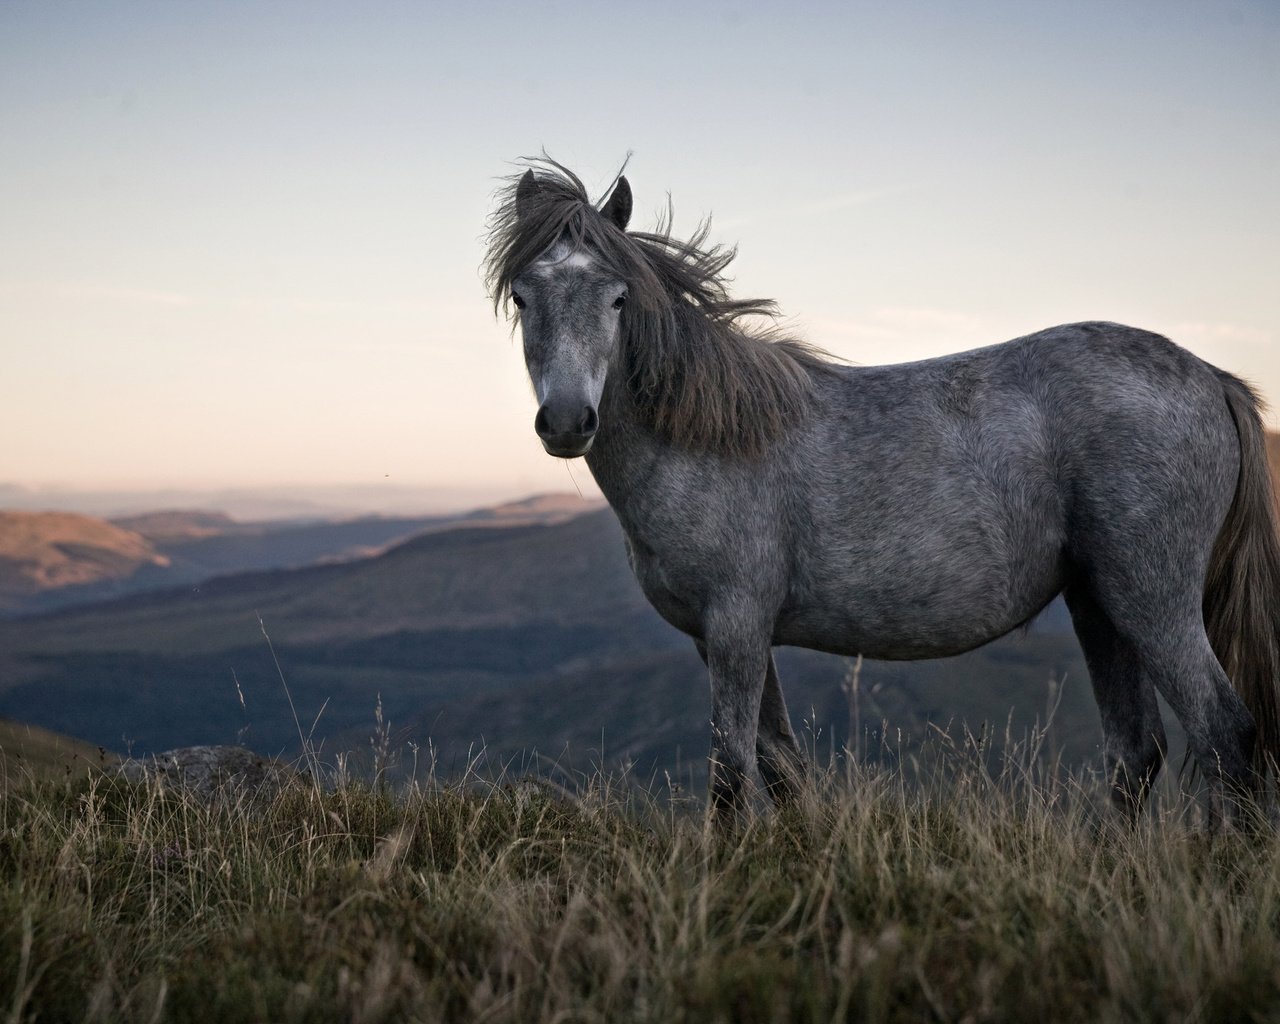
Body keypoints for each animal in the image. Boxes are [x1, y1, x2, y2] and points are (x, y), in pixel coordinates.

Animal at [481, 161, 1280, 829]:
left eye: (618, 298)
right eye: (522, 295)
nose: (566, 421)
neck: (708, 439)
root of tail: (1212, 377)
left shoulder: (736, 625)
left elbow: (732, 776)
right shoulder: (725, 637)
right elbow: (781, 766)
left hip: (1152, 598)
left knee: (1224, 732)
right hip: (1098, 601)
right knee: (1136, 755)